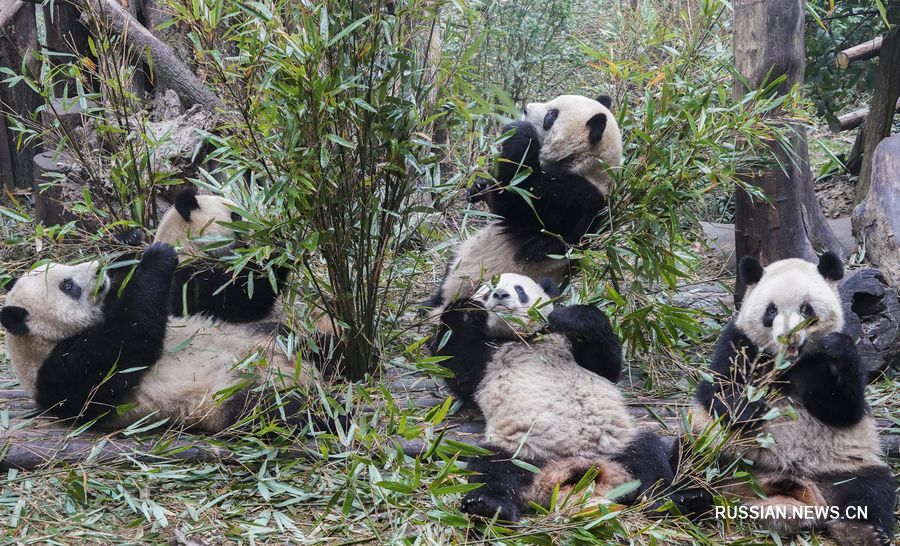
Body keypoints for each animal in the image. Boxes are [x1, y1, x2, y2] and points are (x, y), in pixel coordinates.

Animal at [0, 244, 324, 432]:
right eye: (67, 285)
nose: (99, 268)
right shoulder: (60, 375)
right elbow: (130, 340)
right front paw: (156, 256)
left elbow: (220, 298)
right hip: (227, 396)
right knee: (278, 409)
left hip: (271, 336)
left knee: (312, 343)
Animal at [424, 95, 624, 312]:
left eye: (552, 114)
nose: (525, 109)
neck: (588, 164)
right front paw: (479, 185)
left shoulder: (577, 195)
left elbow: (518, 199)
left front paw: (520, 132)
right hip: (462, 256)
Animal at [430, 272, 676, 520]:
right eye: (489, 290)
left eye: (519, 289)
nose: (500, 294)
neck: (522, 338)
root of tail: (569, 475)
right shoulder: (487, 357)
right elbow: (460, 371)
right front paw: (466, 308)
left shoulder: (564, 342)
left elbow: (606, 364)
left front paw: (570, 316)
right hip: (520, 451)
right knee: (494, 469)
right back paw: (487, 505)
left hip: (617, 445)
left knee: (650, 457)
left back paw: (673, 500)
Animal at [680, 253, 896, 540]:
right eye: (770, 310)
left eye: (807, 309)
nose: (788, 336)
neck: (788, 363)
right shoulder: (738, 342)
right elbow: (715, 391)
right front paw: (752, 407)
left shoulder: (824, 362)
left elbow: (844, 410)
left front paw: (838, 350)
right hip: (721, 451)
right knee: (687, 458)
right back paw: (690, 498)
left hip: (843, 467)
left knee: (872, 488)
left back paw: (863, 532)